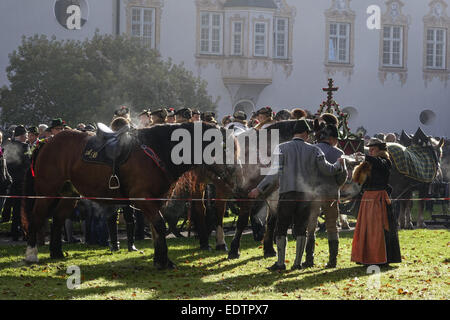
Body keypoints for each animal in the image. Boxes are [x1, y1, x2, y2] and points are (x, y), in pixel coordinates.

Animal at [21, 121, 241, 268]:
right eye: (224, 147)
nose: (237, 172)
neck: (156, 149)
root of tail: (46, 141)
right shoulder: (143, 198)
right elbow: (160, 226)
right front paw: (164, 261)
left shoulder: (155, 200)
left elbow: (155, 228)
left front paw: (159, 259)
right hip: (46, 192)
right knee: (37, 218)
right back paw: (31, 255)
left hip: (69, 194)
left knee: (58, 219)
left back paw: (56, 252)